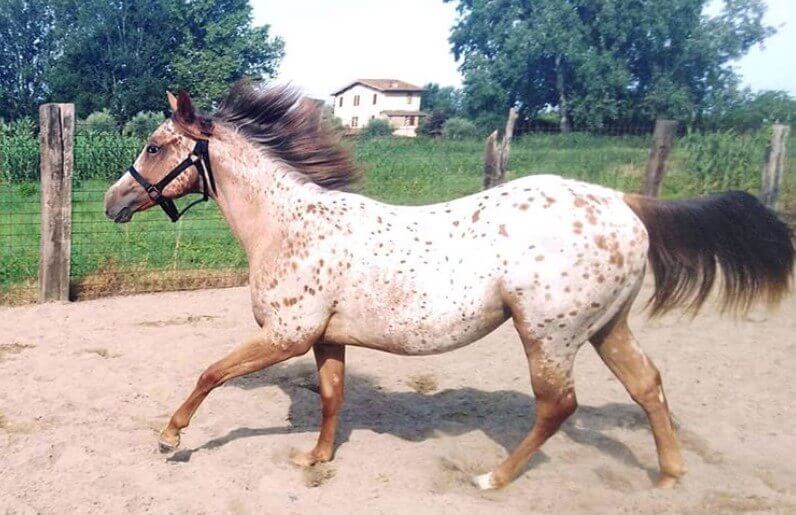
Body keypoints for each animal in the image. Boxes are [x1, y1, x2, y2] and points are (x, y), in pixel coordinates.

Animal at [104, 84, 794, 490]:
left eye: (156, 144)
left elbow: (210, 373)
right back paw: (670, 475)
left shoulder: (285, 335)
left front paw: (170, 437)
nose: (113, 202)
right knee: (647, 385)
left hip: (548, 336)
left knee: (558, 406)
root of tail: (623, 202)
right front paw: (316, 460)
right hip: (606, 328)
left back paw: (494, 478)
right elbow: (331, 397)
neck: (290, 224)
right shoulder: (325, 338)